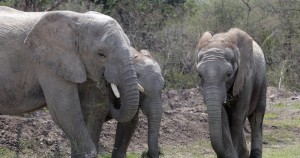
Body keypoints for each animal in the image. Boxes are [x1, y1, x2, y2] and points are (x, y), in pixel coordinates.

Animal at [0, 6, 141, 158]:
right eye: (101, 55)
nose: (109, 86)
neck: (79, 20)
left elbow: (91, 108)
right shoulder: (48, 64)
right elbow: (66, 111)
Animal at [197, 28, 268, 158]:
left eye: (228, 74)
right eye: (199, 75)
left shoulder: (246, 77)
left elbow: (237, 116)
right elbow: (222, 116)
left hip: (262, 81)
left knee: (257, 117)